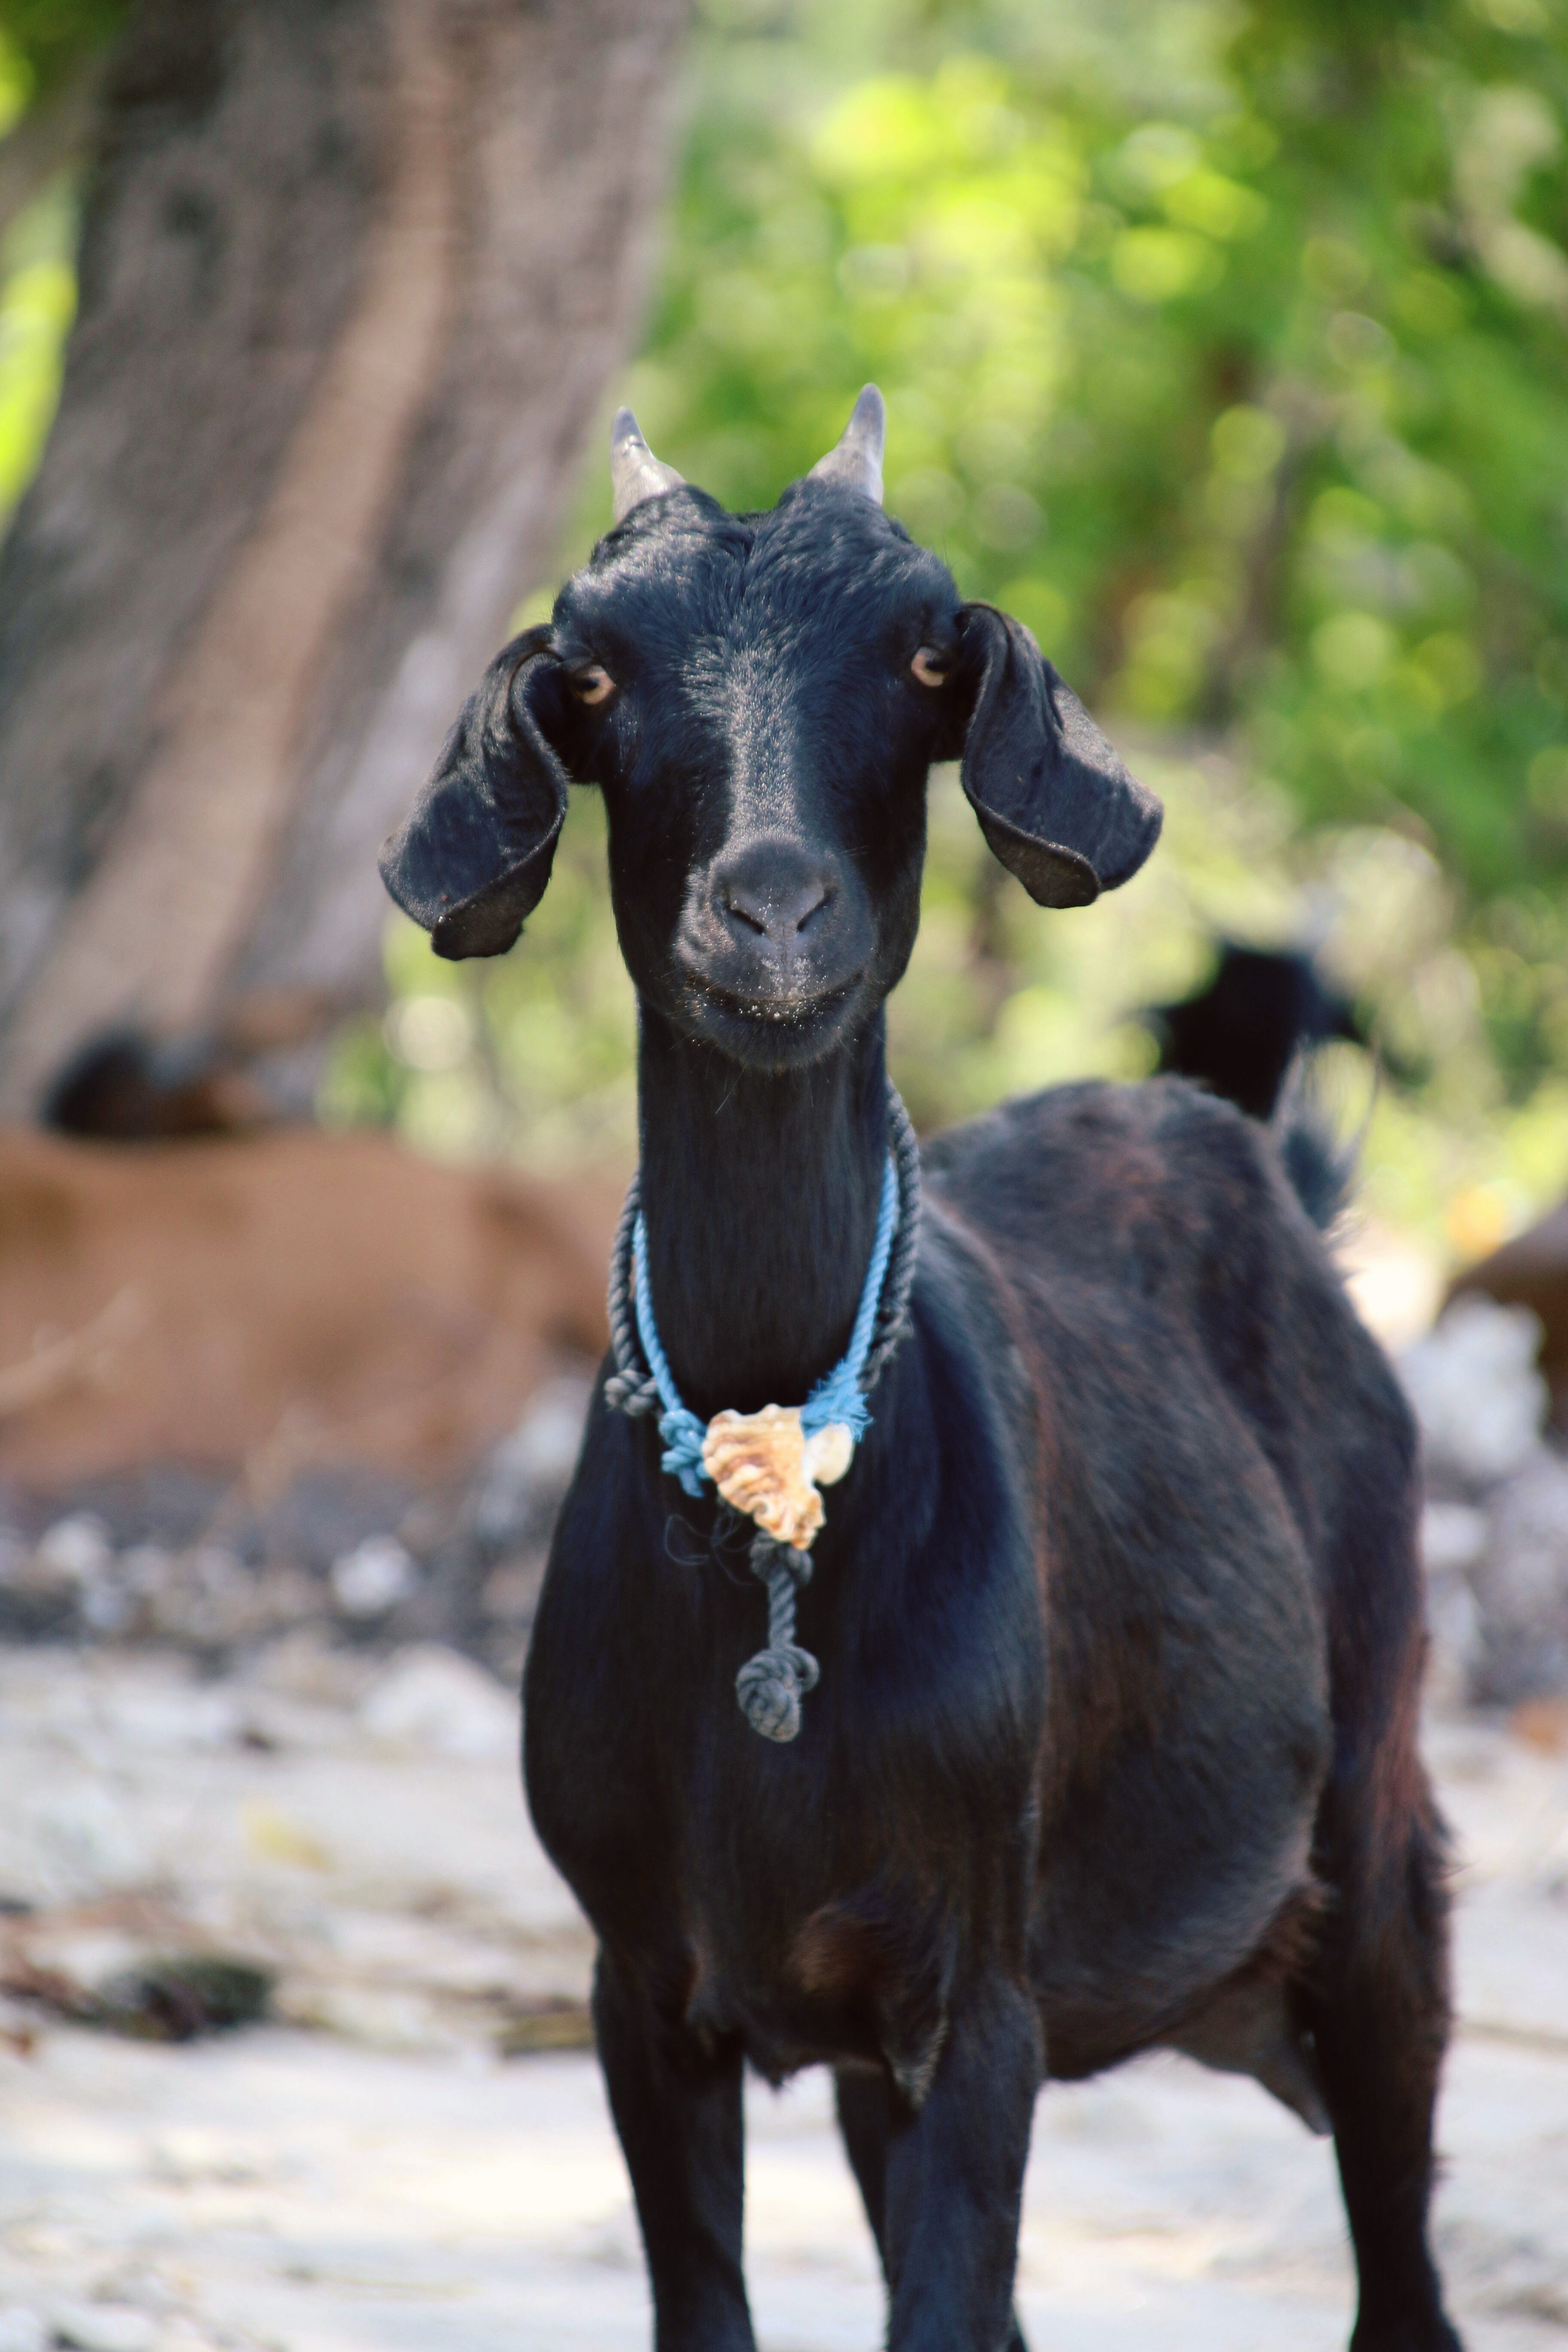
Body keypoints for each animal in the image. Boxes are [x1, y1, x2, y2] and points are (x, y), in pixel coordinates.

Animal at [379, 390, 1460, 2351]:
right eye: (595, 673)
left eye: (922, 656)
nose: (770, 913)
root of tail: (1260, 1164)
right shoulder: (646, 1984)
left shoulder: (980, 1998)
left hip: (1376, 1841)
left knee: (1402, 2263)